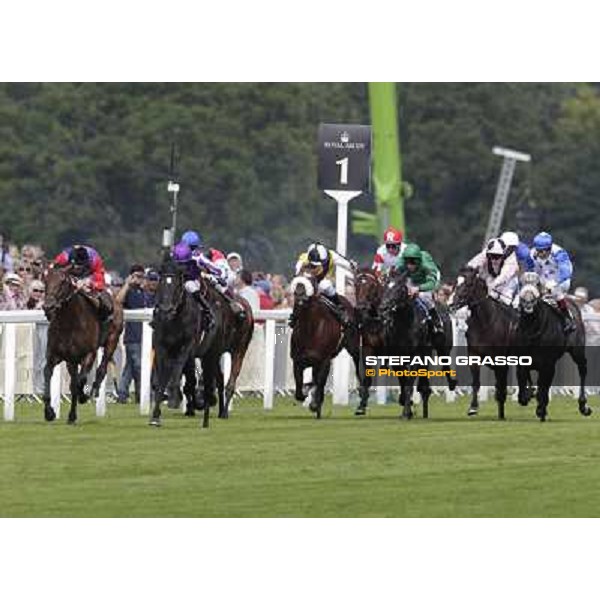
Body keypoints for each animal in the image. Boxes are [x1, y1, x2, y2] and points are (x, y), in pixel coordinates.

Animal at [42, 264, 124, 424]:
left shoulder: (89, 354)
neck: (69, 324)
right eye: (45, 280)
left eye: (63, 282)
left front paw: (84, 396)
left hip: (112, 341)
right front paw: (49, 412)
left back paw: (94, 390)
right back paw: (72, 415)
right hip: (72, 361)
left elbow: (81, 381)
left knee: (102, 368)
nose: (48, 307)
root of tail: (116, 300)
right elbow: (48, 373)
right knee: (74, 381)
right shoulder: (55, 355)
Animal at [516, 278, 592, 422]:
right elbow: (524, 386)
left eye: (535, 295)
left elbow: (542, 388)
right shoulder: (523, 360)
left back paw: (583, 405)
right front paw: (530, 394)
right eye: (521, 294)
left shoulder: (547, 363)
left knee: (583, 369)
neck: (532, 331)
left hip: (577, 351)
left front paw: (541, 409)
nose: (528, 305)